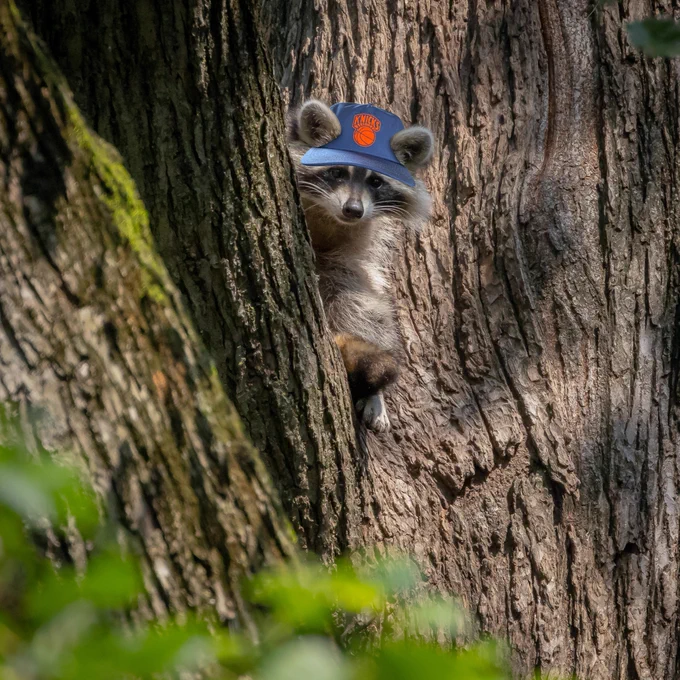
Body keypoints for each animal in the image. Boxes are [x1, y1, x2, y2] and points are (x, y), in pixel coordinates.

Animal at [287, 100, 433, 431]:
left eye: (376, 181)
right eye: (337, 172)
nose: (353, 210)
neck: (329, 216)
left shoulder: (357, 247)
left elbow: (368, 300)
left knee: (359, 305)